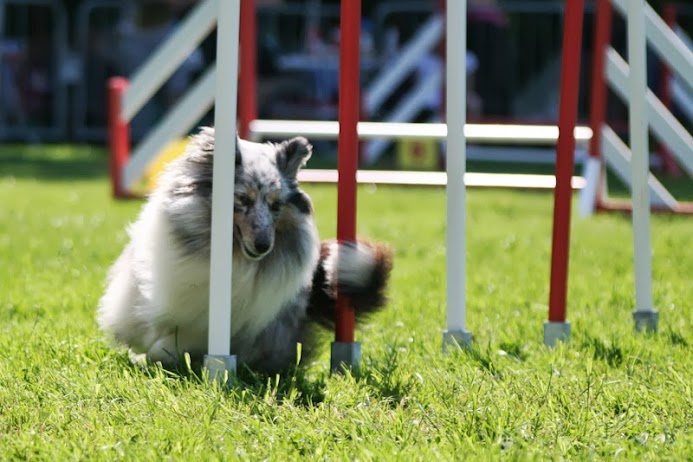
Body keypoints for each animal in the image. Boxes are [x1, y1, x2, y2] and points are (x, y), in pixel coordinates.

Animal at [96, 128, 394, 374]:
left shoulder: (212, 324)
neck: (233, 256)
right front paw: (138, 348)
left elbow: (165, 347)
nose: (263, 245)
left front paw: (160, 356)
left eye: (276, 205)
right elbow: (141, 328)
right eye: (242, 199)